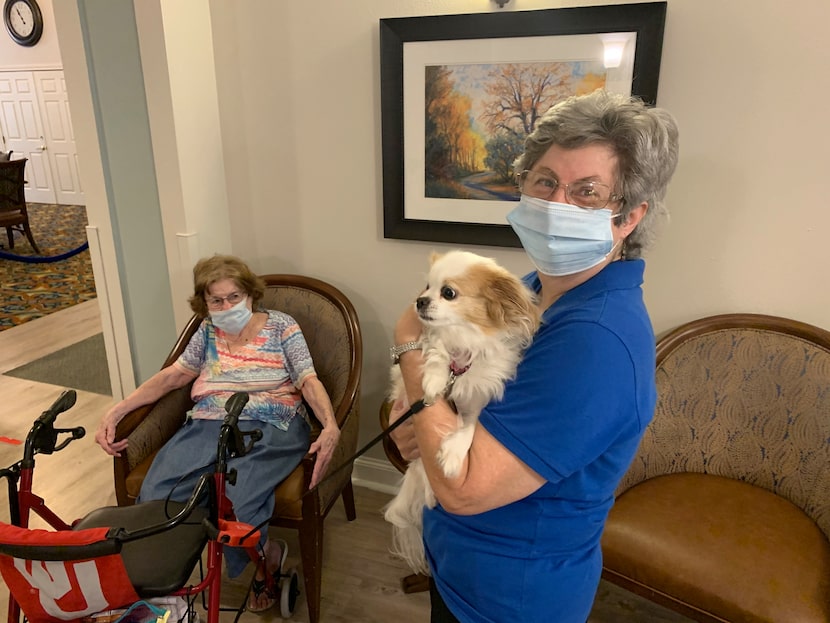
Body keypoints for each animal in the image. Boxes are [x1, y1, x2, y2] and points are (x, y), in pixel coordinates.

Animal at [386, 250, 544, 576]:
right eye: (426, 287)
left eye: (448, 293)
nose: (420, 301)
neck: (466, 339)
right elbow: (436, 348)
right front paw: (434, 379)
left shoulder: (479, 400)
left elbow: (469, 426)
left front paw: (453, 454)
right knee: (421, 467)